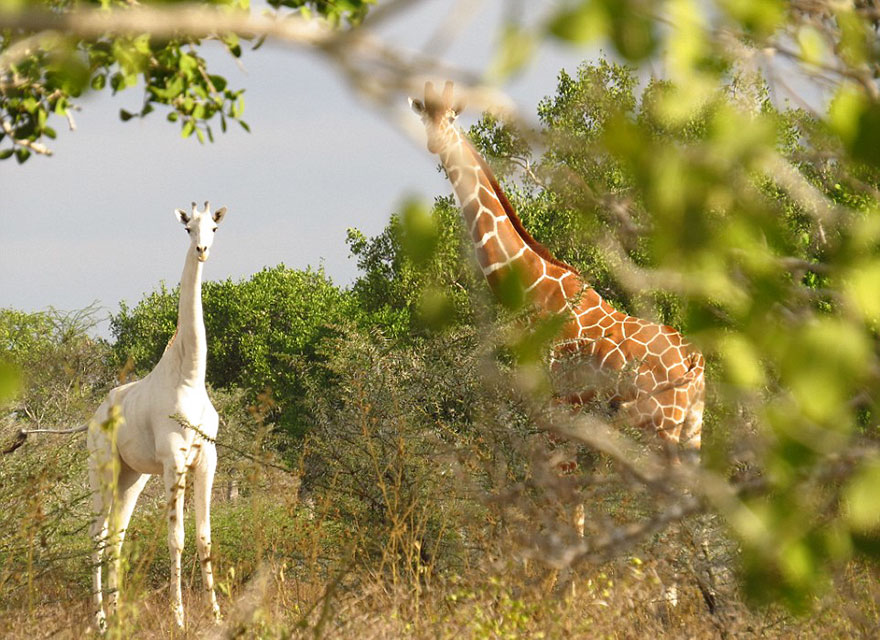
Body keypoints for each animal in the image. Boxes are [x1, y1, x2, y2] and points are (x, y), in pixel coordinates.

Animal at [85, 204, 225, 632]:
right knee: (96, 536)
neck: (190, 377)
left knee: (117, 535)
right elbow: (175, 538)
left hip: (132, 476)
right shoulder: (173, 460)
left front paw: (216, 614)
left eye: (214, 228)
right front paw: (178, 617)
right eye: (187, 227)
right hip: (103, 468)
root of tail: (95, 417)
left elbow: (205, 537)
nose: (202, 250)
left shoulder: (207, 459)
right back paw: (99, 619)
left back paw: (116, 615)